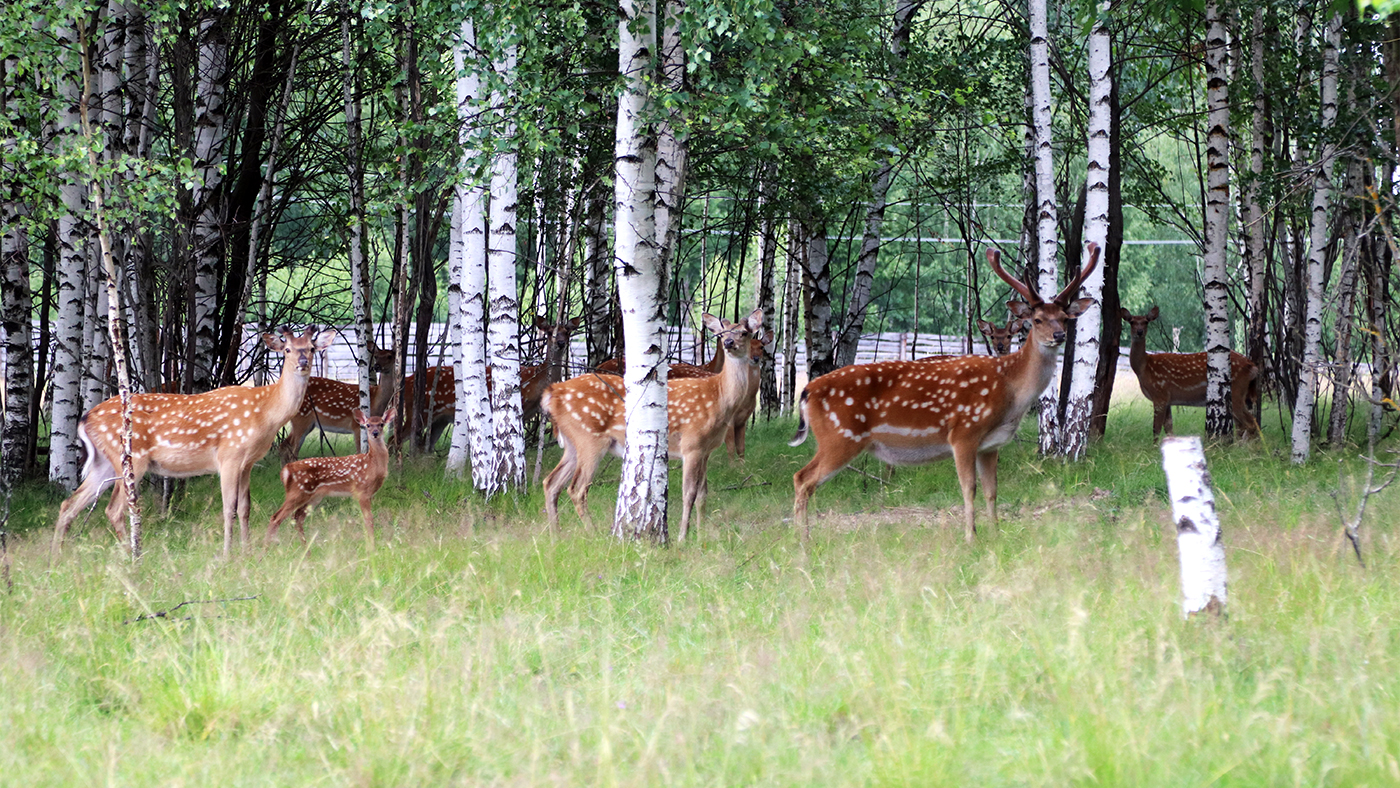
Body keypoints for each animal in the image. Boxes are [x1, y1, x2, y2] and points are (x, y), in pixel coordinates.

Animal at [52, 324, 338, 554]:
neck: (265, 413)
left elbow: (245, 509)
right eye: (287, 350)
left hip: (104, 463)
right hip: (131, 458)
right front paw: (227, 555)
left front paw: (247, 552)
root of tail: (86, 418)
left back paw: (58, 558)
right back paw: (131, 555)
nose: (303, 362)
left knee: (69, 504)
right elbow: (228, 508)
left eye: (311, 348)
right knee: (113, 509)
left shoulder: (247, 463)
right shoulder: (229, 455)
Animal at [267, 405, 394, 543]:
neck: (371, 465)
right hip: (297, 492)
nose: (375, 433)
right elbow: (368, 520)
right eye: (368, 425)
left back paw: (306, 547)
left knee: (297, 517)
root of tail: (286, 470)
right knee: (276, 517)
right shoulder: (361, 491)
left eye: (381, 424)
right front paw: (371, 545)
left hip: (314, 496)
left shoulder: (369, 494)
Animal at [540, 307, 767, 543]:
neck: (719, 397)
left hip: (572, 443)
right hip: (589, 438)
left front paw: (702, 533)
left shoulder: (706, 450)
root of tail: (552, 393)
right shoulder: (692, 444)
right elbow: (689, 493)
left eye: (743, 332)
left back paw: (555, 536)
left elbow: (703, 494)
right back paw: (594, 534)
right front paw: (683, 537)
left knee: (551, 483)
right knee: (576, 489)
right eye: (722, 334)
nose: (729, 343)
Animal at [795, 244, 1097, 543]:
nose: (1058, 335)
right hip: (840, 436)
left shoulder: (991, 445)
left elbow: (992, 490)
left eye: (1064, 319)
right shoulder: (963, 431)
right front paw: (971, 537)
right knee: (803, 479)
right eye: (1037, 319)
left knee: (802, 478)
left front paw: (996, 534)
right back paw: (803, 541)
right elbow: (969, 488)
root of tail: (807, 391)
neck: (1009, 392)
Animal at [1120, 307, 1265, 442]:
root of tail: (1252, 366)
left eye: (1146, 321)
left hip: (1235, 392)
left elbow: (1156, 429)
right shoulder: (1167, 399)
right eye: (1132, 321)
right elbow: (1169, 428)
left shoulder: (1159, 394)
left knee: (1250, 423)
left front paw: (1154, 448)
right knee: (1243, 426)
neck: (1144, 367)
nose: (1139, 332)